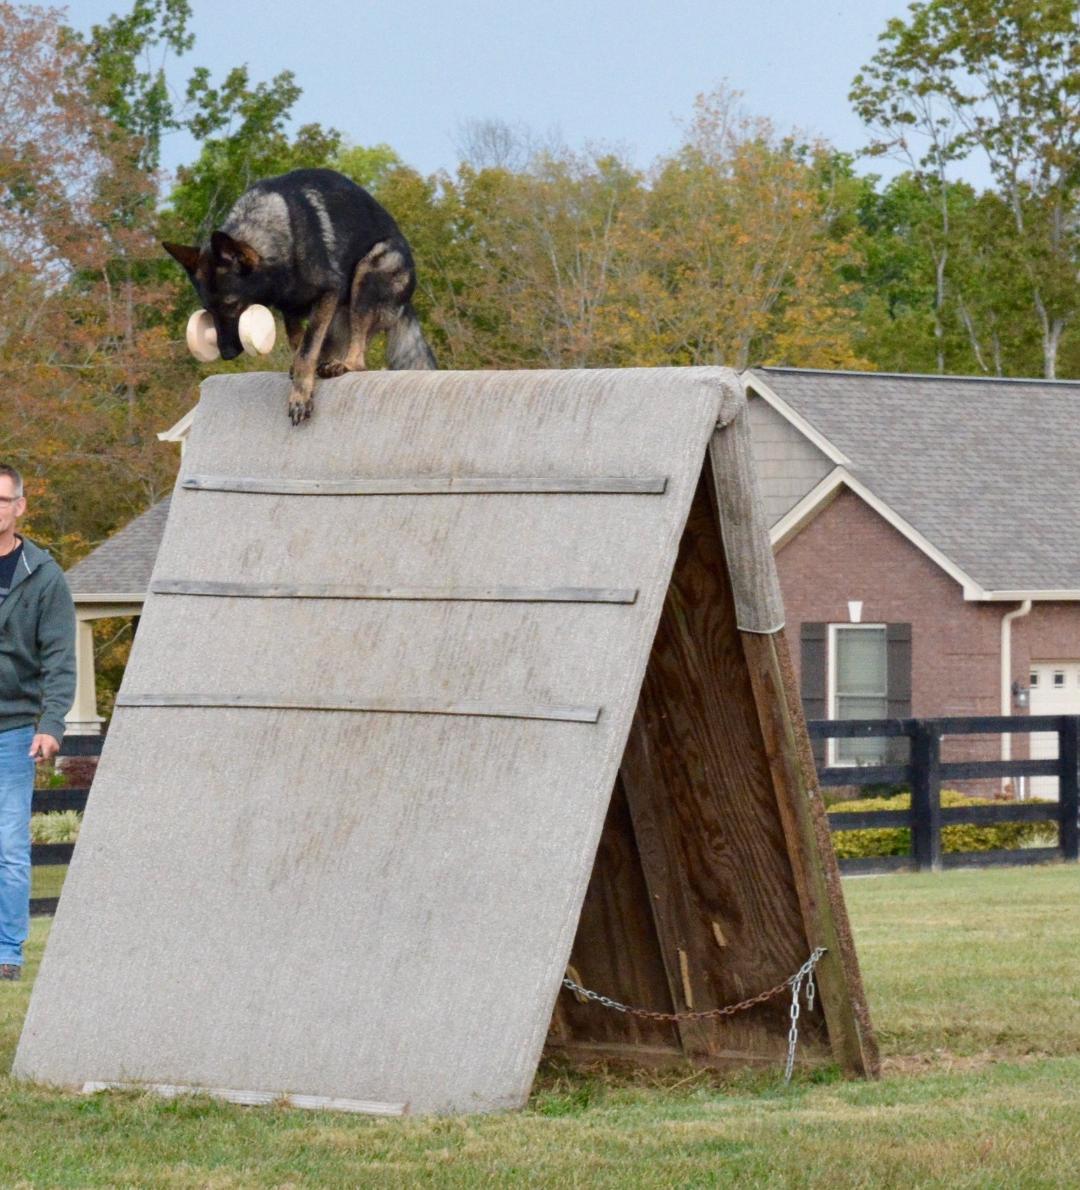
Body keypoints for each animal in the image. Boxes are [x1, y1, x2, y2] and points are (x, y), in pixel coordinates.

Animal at [162, 167, 437, 426]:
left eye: (232, 305)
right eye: (208, 310)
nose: (227, 354)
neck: (276, 238)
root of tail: (407, 301)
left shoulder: (328, 292)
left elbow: (306, 349)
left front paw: (300, 396)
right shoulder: (290, 310)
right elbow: (298, 343)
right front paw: (298, 372)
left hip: (367, 274)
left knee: (360, 355)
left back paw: (345, 365)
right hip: (338, 320)